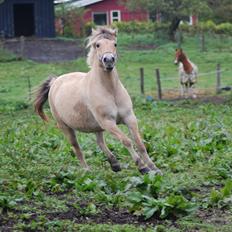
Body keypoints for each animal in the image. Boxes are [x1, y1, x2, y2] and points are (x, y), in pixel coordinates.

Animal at [34, 27, 161, 175]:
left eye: (115, 44)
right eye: (97, 45)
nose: (109, 60)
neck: (110, 91)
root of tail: (55, 82)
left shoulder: (129, 118)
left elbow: (140, 143)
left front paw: (154, 168)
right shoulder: (108, 122)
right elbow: (127, 141)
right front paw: (142, 167)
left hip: (96, 126)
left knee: (99, 142)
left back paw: (115, 164)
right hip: (66, 127)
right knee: (77, 148)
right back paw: (87, 170)